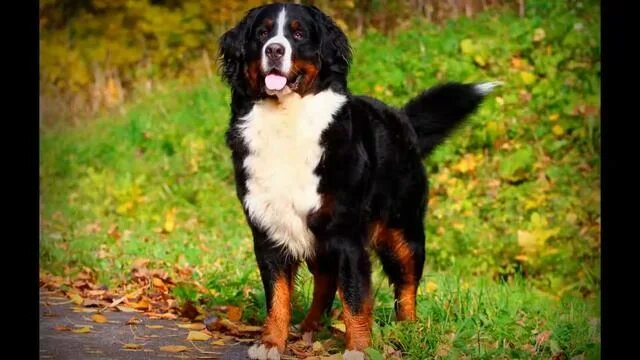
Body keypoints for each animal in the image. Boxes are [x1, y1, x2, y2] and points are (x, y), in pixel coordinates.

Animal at [219, 3, 500, 360]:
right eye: (262, 33)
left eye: (298, 33)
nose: (275, 50)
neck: (287, 120)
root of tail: (402, 119)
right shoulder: (269, 230)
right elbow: (278, 297)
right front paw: (271, 342)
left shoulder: (345, 234)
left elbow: (354, 295)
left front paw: (357, 348)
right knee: (326, 282)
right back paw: (309, 328)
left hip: (402, 230)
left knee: (406, 285)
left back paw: (408, 331)